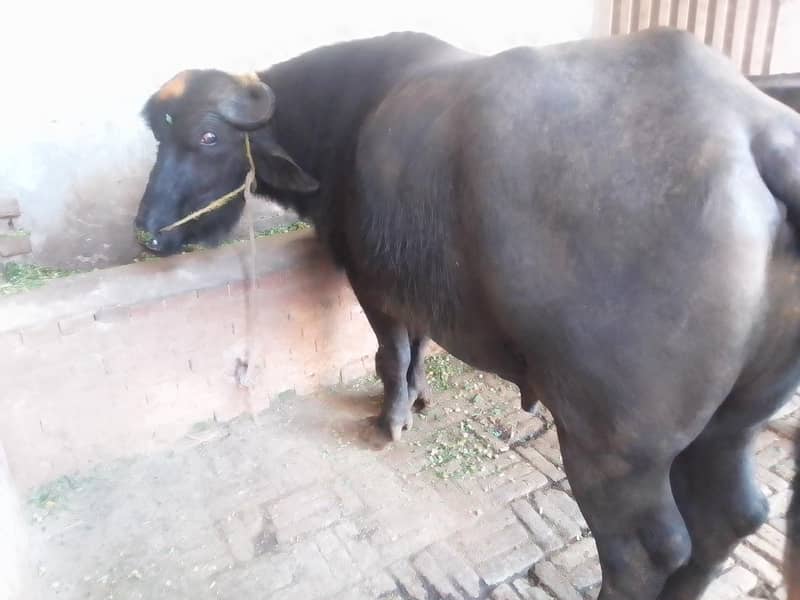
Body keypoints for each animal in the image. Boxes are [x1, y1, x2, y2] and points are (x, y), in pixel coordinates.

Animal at [134, 29, 800, 599]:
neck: (348, 117)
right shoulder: (418, 283)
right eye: (160, 136)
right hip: (733, 424)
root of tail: (754, 132)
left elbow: (391, 353)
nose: (147, 231)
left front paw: (391, 419)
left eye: (208, 137)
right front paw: (421, 395)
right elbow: (421, 344)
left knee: (646, 552)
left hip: (612, 446)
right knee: (729, 520)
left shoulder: (370, 281)